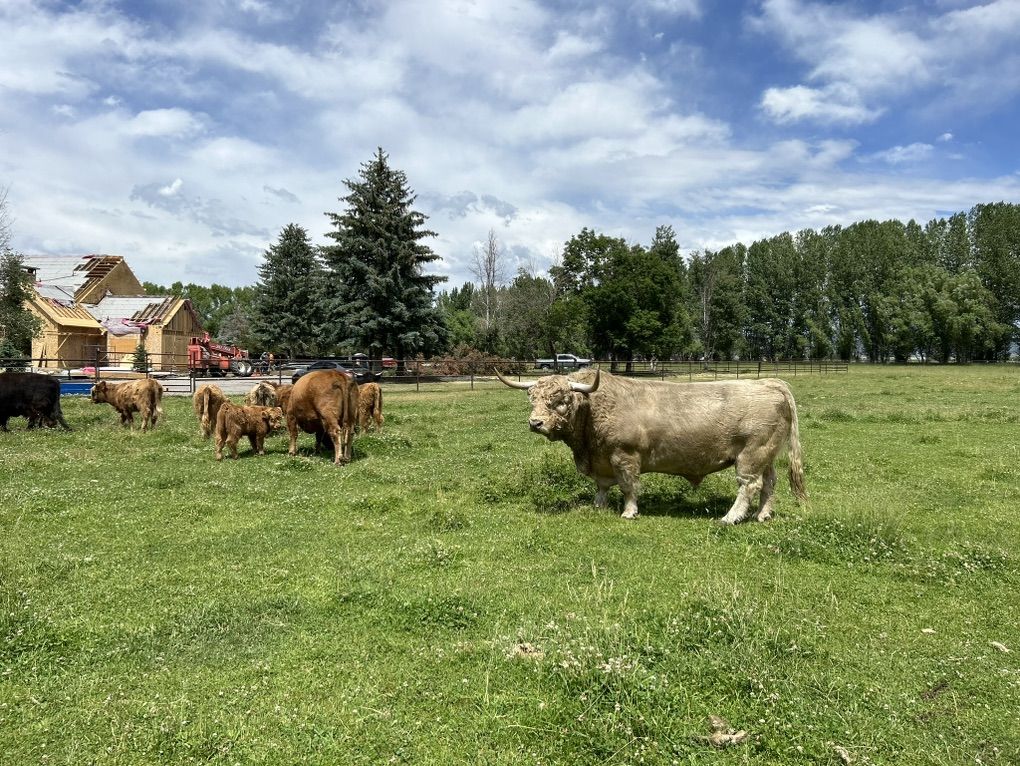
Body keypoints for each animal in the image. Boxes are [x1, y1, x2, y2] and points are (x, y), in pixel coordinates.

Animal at [496, 368, 806, 523]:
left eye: (560, 400)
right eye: (533, 398)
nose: (535, 422)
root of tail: (770, 383)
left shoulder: (624, 456)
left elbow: (628, 486)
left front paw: (629, 511)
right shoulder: (601, 460)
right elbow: (602, 486)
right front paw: (598, 506)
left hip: (751, 454)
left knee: (749, 485)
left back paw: (730, 517)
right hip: (766, 455)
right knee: (769, 483)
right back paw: (763, 515)